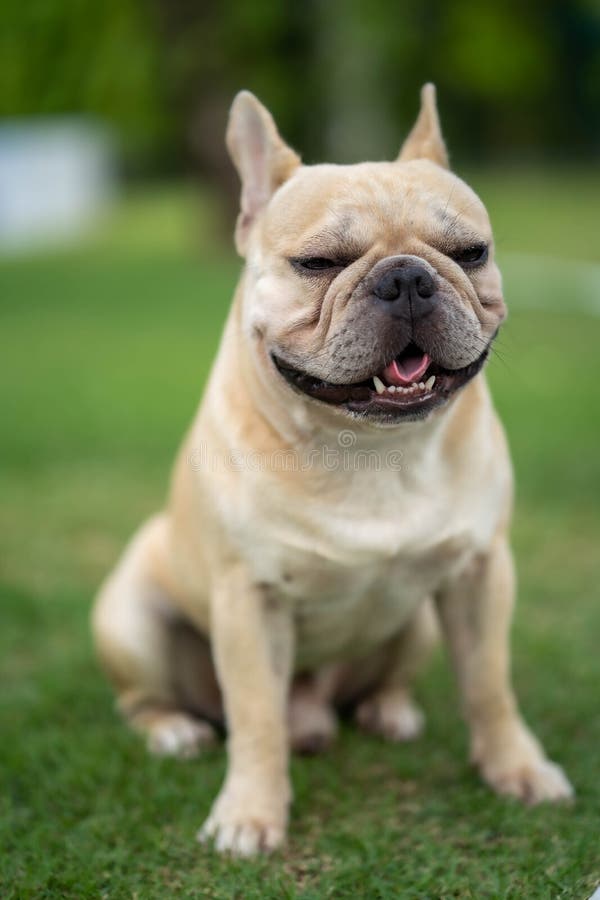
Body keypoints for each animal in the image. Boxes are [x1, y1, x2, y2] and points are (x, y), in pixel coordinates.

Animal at [91, 84, 576, 856]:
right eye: (318, 262)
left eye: (470, 253)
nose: (407, 278)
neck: (369, 449)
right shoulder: (249, 599)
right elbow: (256, 719)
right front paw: (250, 815)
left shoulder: (480, 572)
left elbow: (489, 684)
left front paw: (517, 769)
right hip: (128, 618)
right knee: (146, 699)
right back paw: (173, 730)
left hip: (422, 621)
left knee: (390, 679)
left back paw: (389, 710)